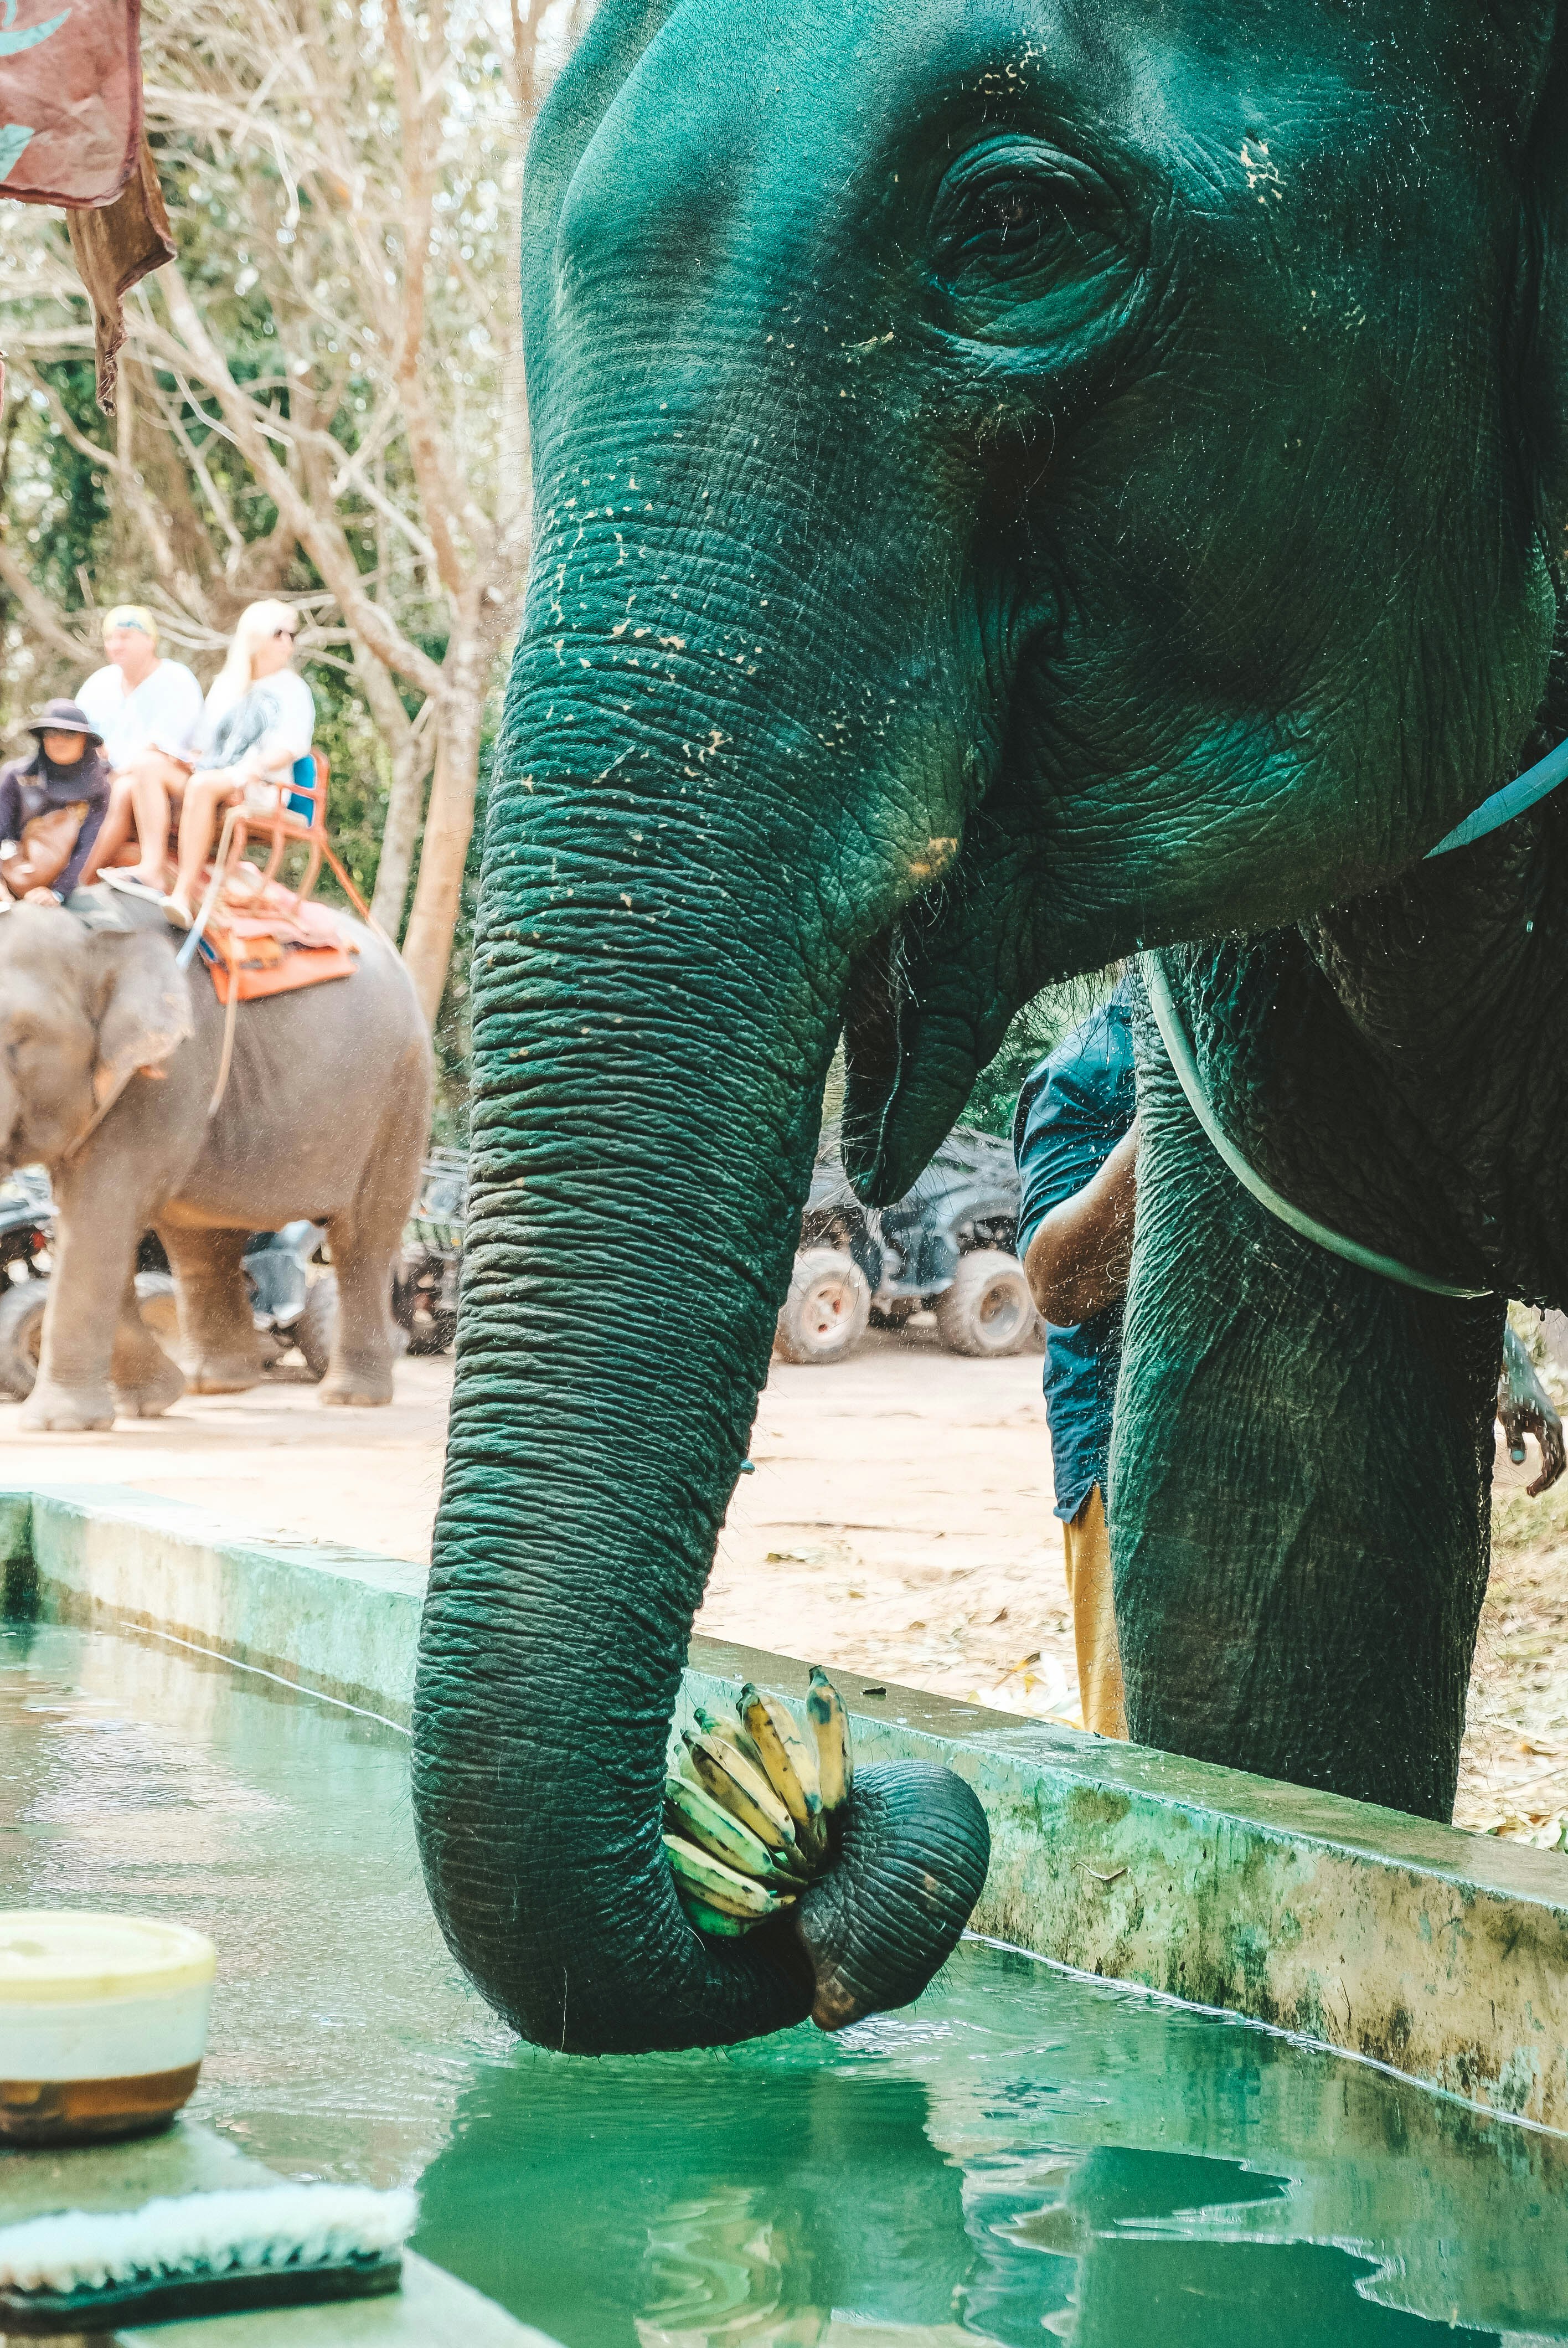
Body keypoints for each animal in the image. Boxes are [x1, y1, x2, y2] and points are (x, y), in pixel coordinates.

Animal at [0, 892, 431, 1429]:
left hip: (401, 1094)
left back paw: (350, 1399)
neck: (92, 938)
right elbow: (92, 1224)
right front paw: (150, 1401)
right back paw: (216, 1385)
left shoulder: (165, 1077)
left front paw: (59, 1425)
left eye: (18, 1041)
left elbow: (98, 1213)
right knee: (201, 1240)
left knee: (362, 1235)